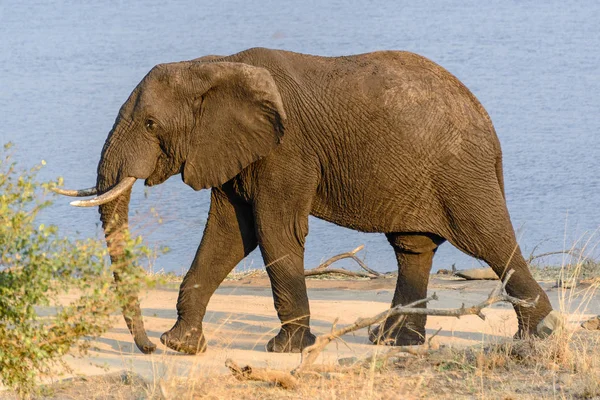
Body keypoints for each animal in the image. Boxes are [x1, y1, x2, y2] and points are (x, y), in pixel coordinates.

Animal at [54, 47, 556, 354]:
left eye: (151, 125)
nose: (145, 346)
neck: (213, 65)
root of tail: (486, 120)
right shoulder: (234, 152)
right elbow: (229, 235)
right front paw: (181, 346)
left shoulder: (286, 150)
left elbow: (274, 230)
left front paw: (286, 349)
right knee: (413, 247)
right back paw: (391, 342)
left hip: (459, 170)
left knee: (488, 240)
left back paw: (537, 337)